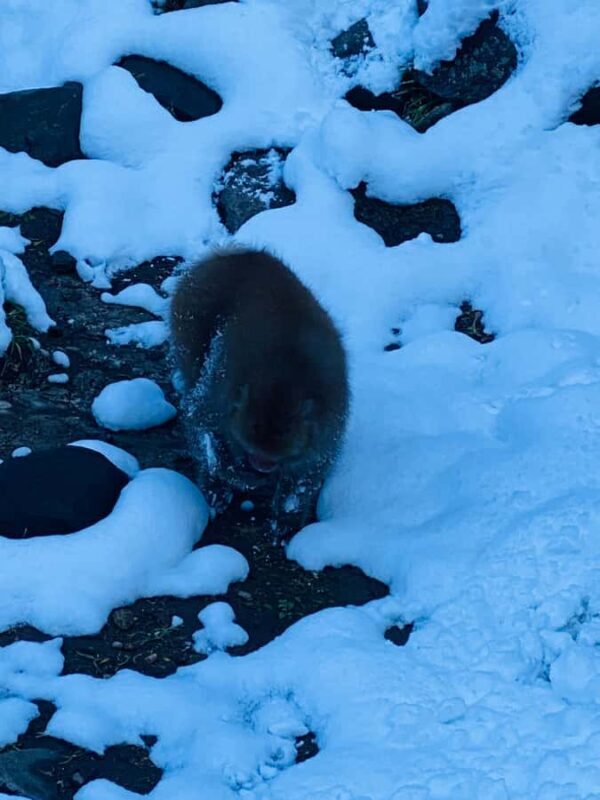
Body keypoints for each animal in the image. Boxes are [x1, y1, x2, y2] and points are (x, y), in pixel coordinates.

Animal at [169, 247, 350, 534]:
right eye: (254, 428)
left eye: (284, 433)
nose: (262, 462)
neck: (286, 372)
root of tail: (236, 254)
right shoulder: (220, 391)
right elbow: (199, 422)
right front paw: (230, 475)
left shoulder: (328, 420)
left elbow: (306, 472)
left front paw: (286, 519)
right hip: (189, 315)